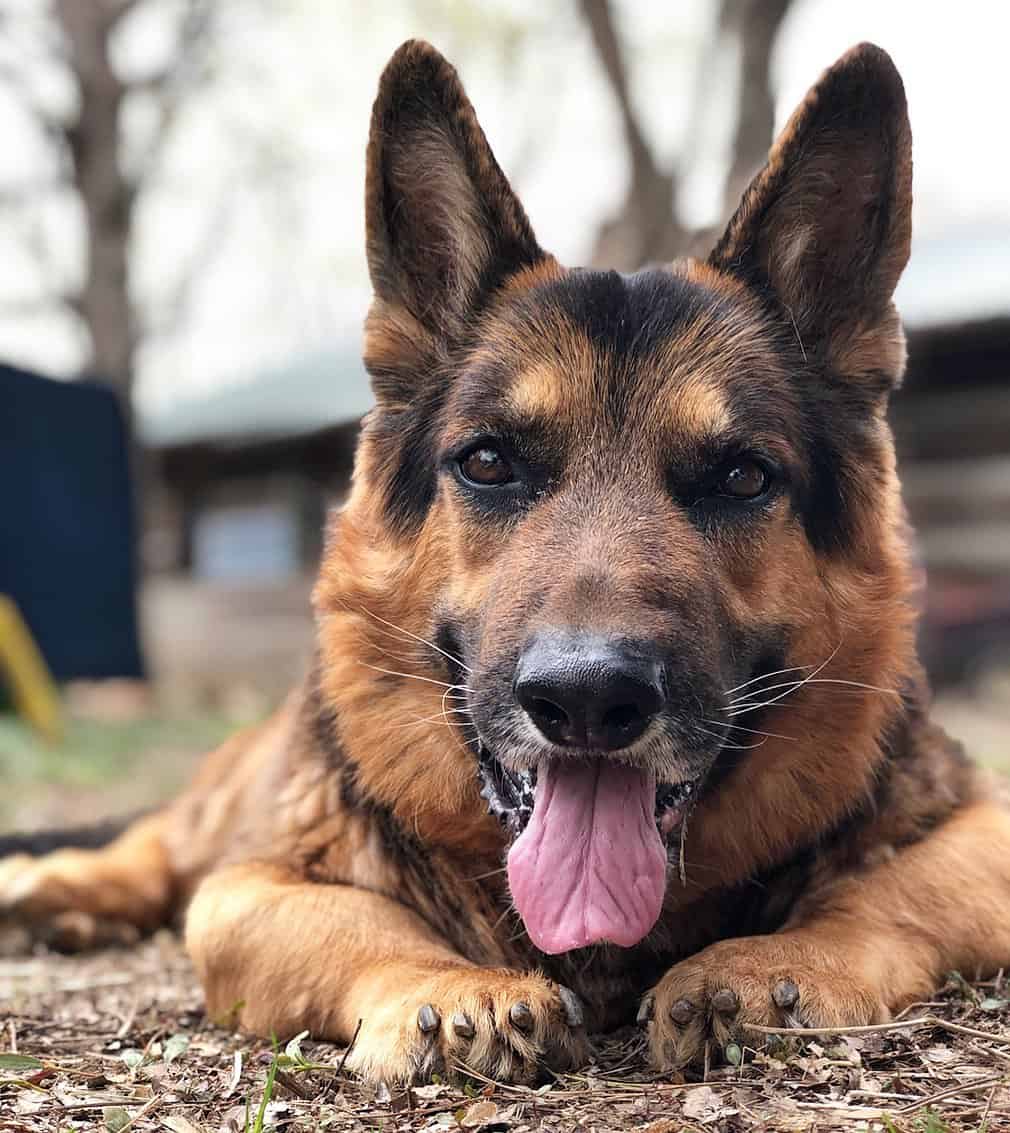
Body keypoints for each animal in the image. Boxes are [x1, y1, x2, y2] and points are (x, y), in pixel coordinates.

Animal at [1, 39, 1010, 1083]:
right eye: (489, 463)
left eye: (740, 477)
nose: (588, 701)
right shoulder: (253, 885)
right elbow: (350, 918)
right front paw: (450, 984)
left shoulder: (985, 831)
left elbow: (887, 890)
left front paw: (774, 958)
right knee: (159, 844)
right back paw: (59, 885)